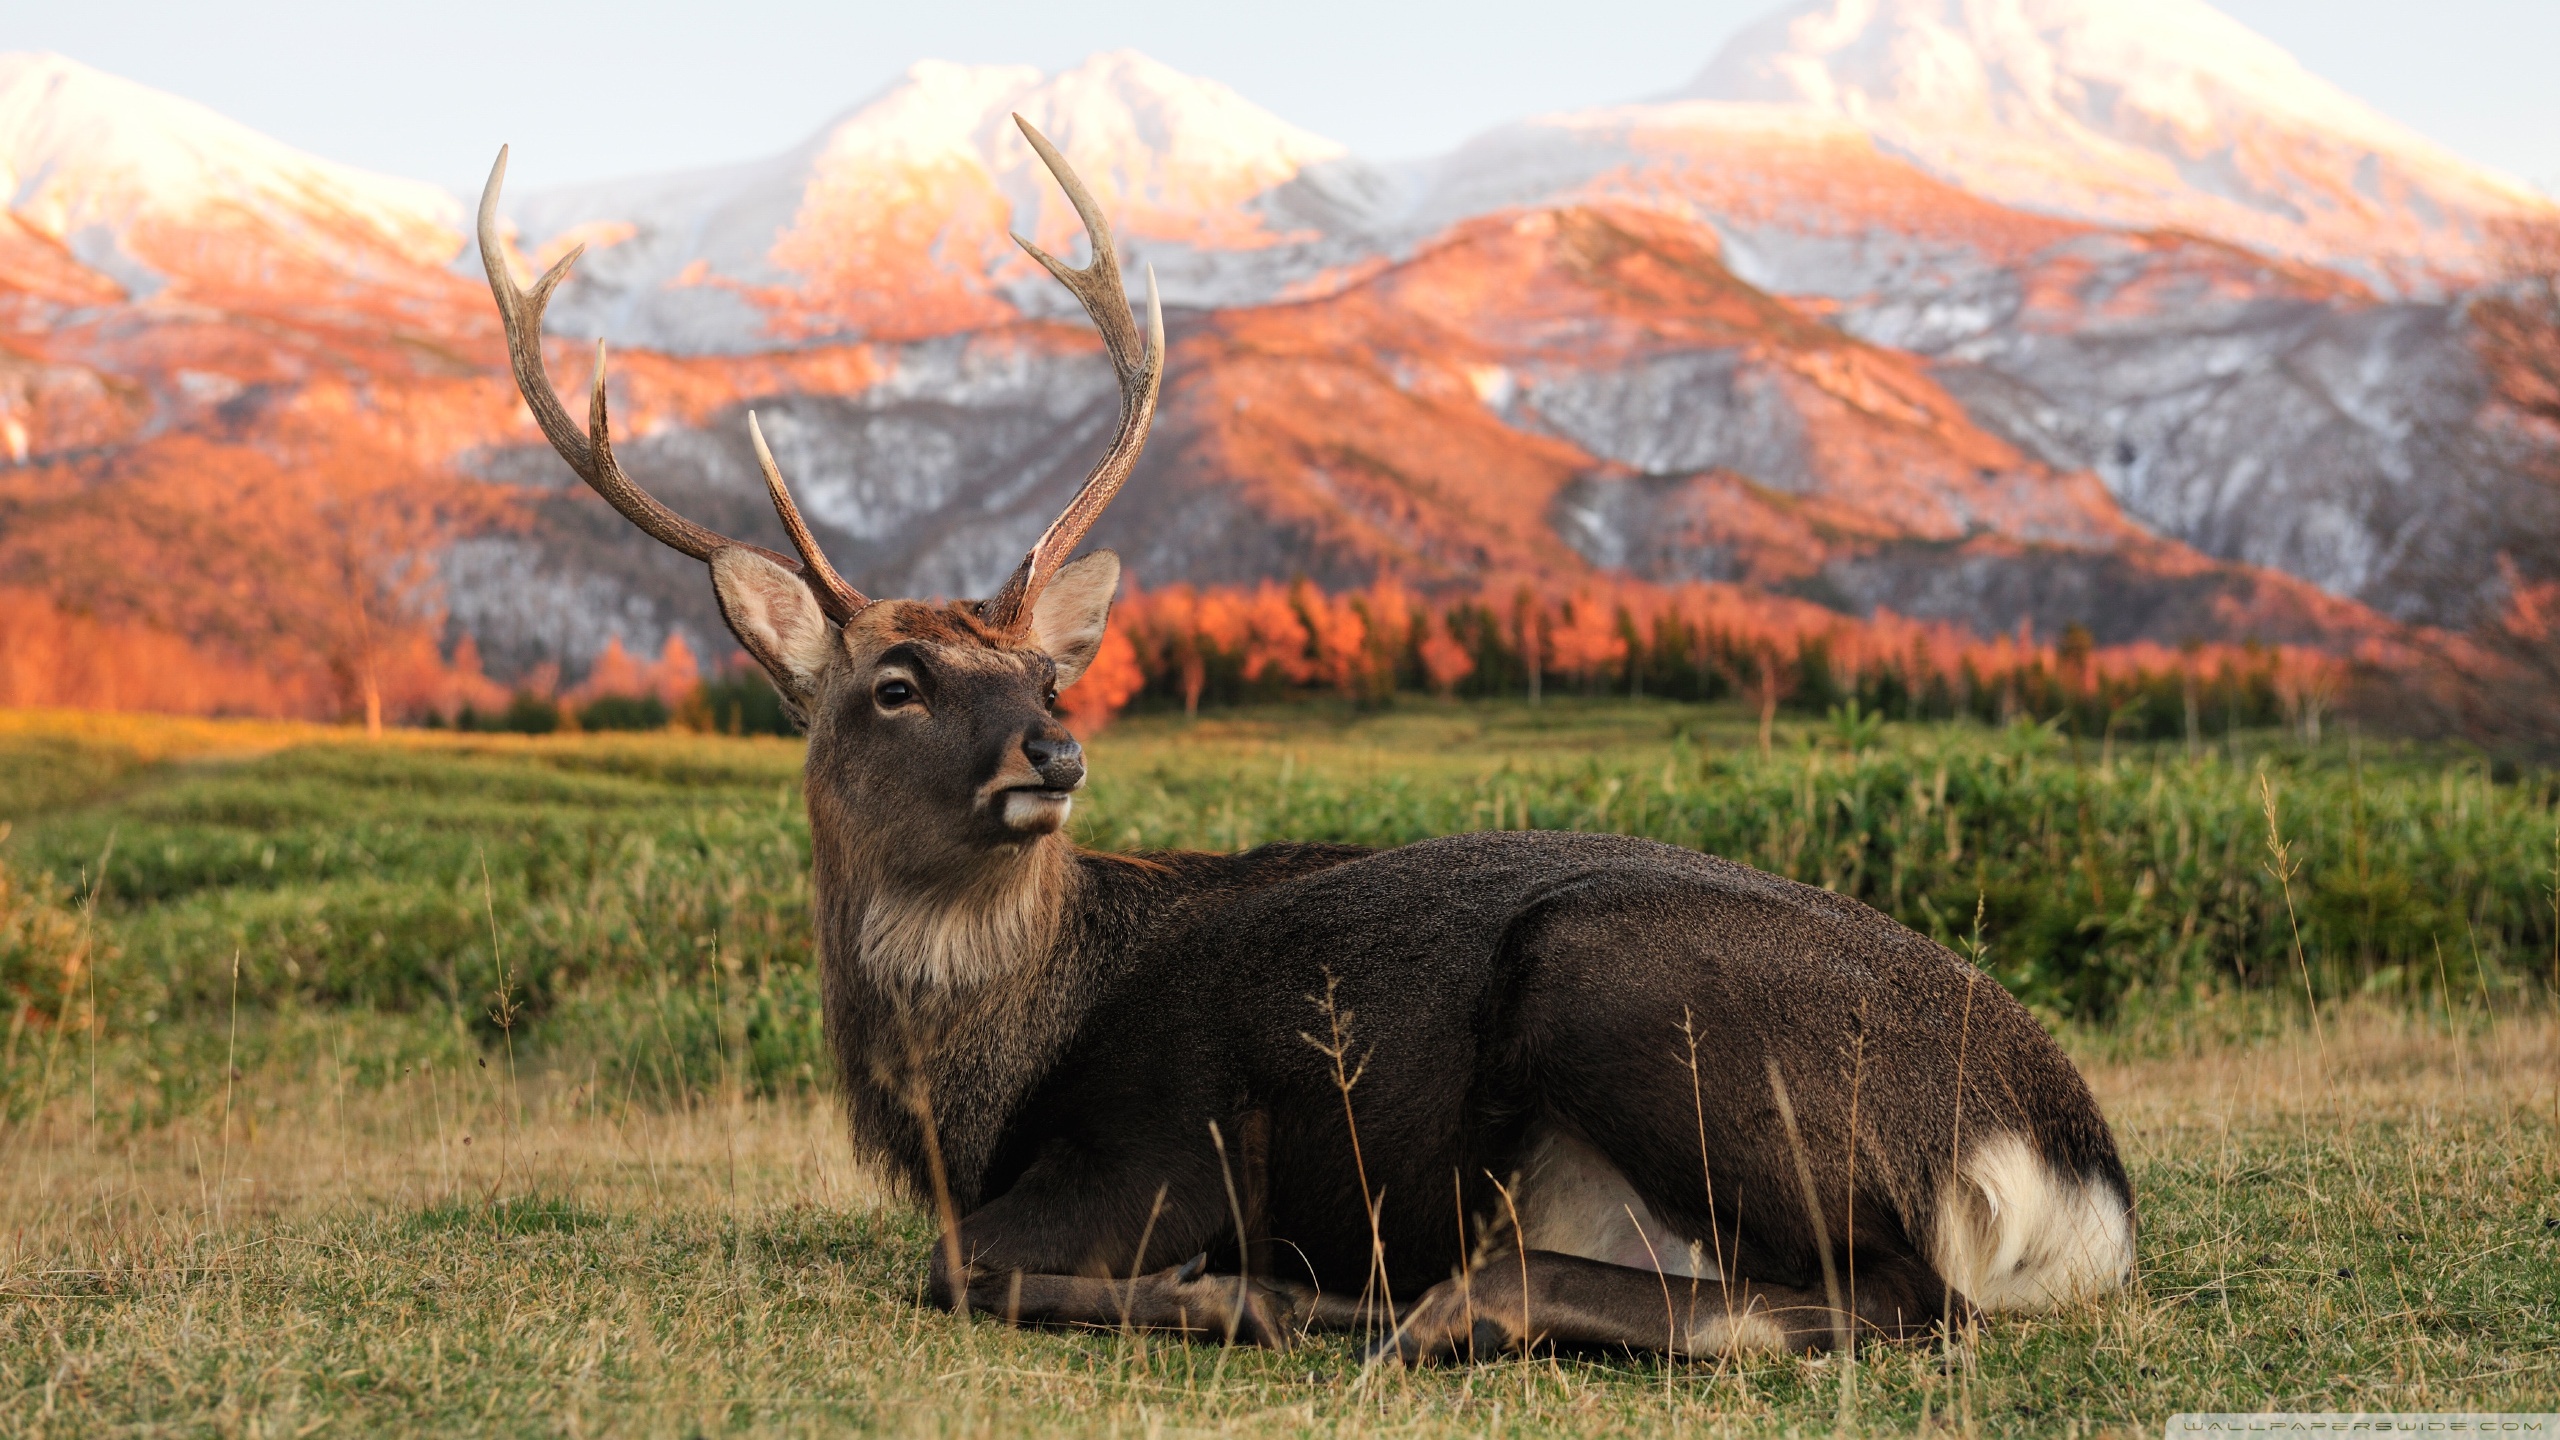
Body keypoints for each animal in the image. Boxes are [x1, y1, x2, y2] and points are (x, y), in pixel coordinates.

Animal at [471, 126, 2129, 1352]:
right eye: (894, 682)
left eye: (1046, 674)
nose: (1050, 757)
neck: (974, 1093)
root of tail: (2073, 1171)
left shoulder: (1161, 1144)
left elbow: (956, 1268)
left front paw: (1237, 1292)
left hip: (1629, 988)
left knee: (1894, 1297)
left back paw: (1407, 1303)